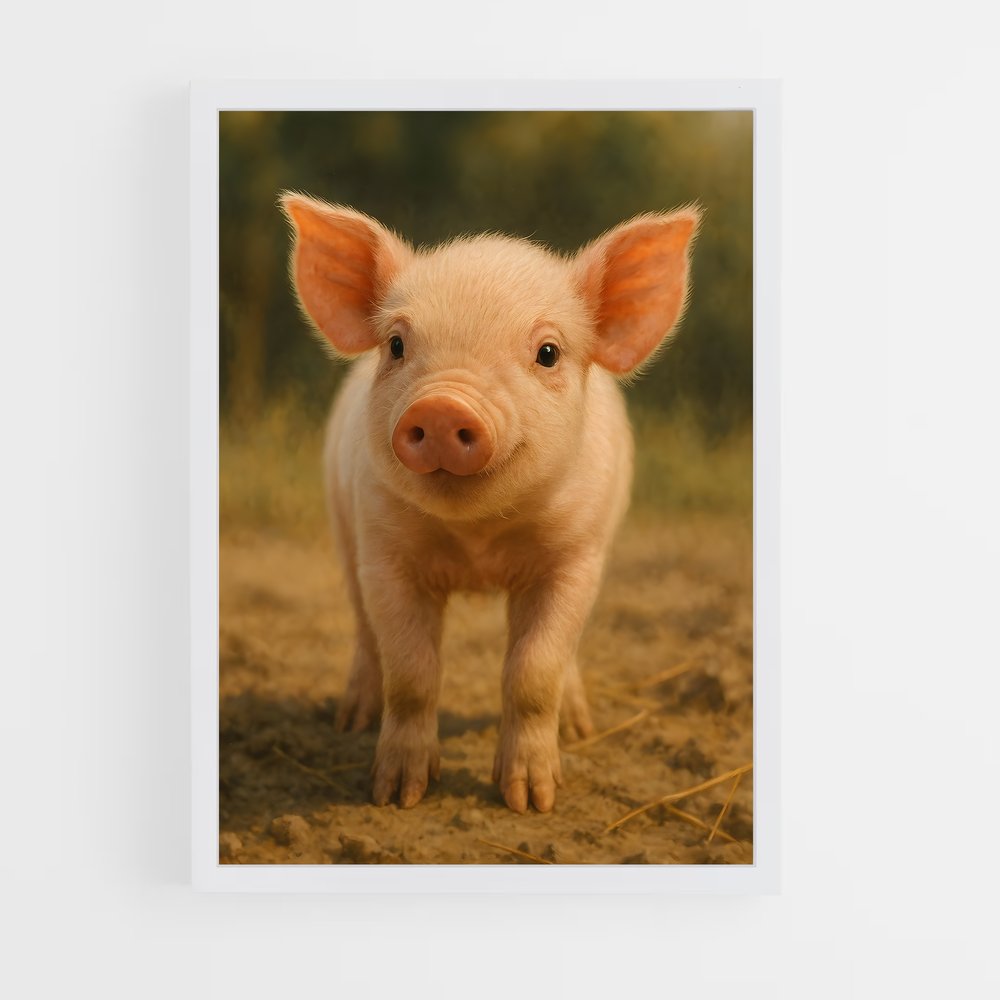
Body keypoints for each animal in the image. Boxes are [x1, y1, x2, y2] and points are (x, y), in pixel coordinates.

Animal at [279, 193, 700, 813]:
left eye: (548, 352)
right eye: (397, 345)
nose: (442, 407)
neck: (477, 544)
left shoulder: (575, 557)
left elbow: (534, 670)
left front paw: (531, 802)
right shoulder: (385, 551)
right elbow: (411, 671)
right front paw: (397, 796)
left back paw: (580, 727)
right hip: (341, 526)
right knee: (363, 629)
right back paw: (350, 720)